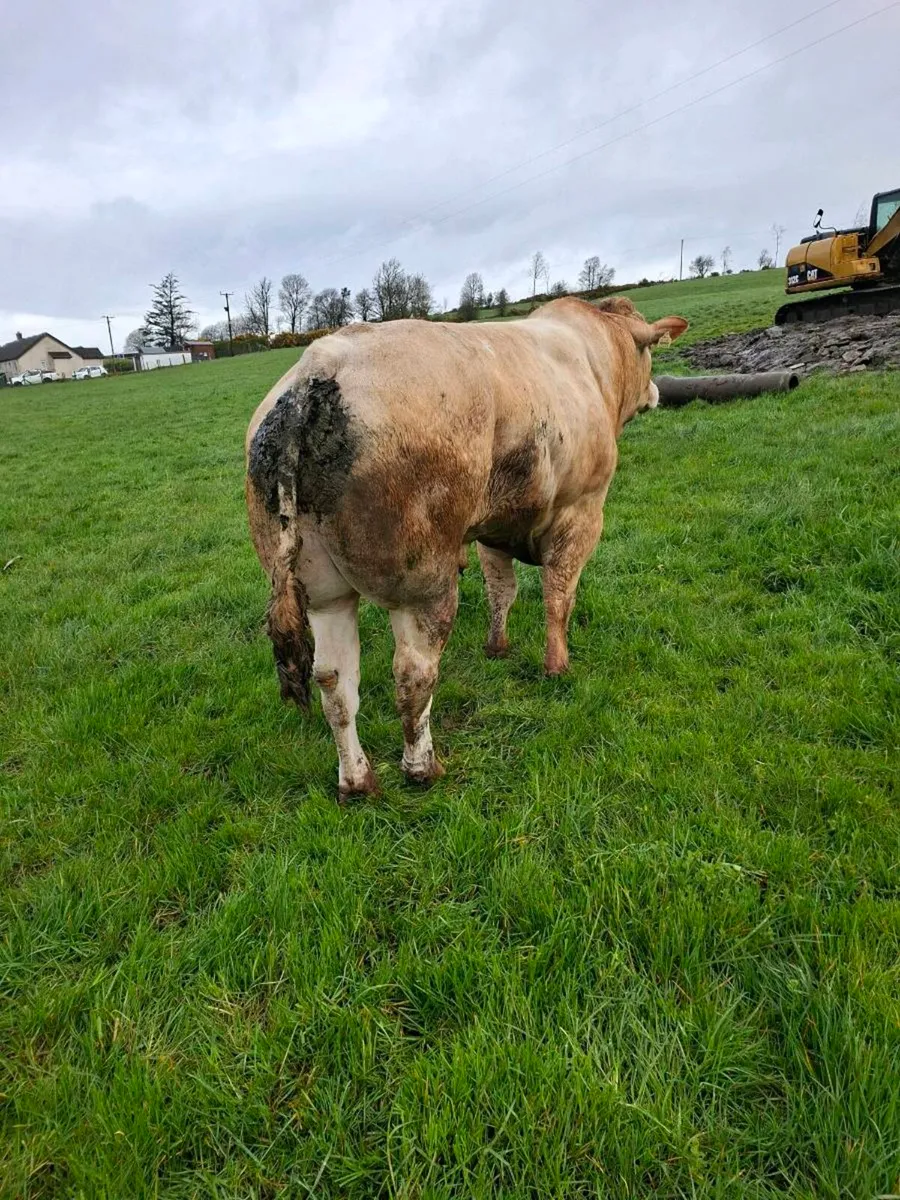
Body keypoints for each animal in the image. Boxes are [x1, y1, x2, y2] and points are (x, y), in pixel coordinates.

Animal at [246, 296, 687, 798]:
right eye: (648, 351)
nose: (656, 392)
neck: (593, 358)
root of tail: (316, 370)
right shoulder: (582, 512)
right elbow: (559, 595)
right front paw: (557, 665)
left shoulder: (494, 530)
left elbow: (502, 591)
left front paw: (497, 647)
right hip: (424, 585)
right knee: (414, 674)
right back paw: (421, 767)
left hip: (323, 591)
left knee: (334, 680)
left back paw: (357, 780)